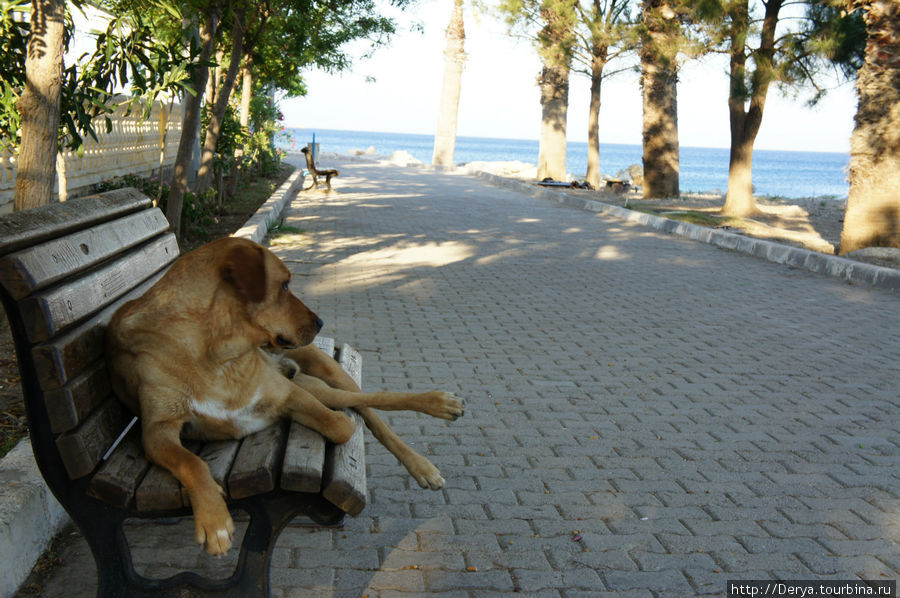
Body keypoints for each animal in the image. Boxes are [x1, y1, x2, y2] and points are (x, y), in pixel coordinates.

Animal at [107, 237, 464, 556]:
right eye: (284, 286)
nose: (320, 322)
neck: (216, 353)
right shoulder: (157, 431)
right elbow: (191, 461)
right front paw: (214, 518)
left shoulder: (288, 394)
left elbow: (343, 426)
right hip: (311, 382)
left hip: (324, 373)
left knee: (373, 405)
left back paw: (433, 432)